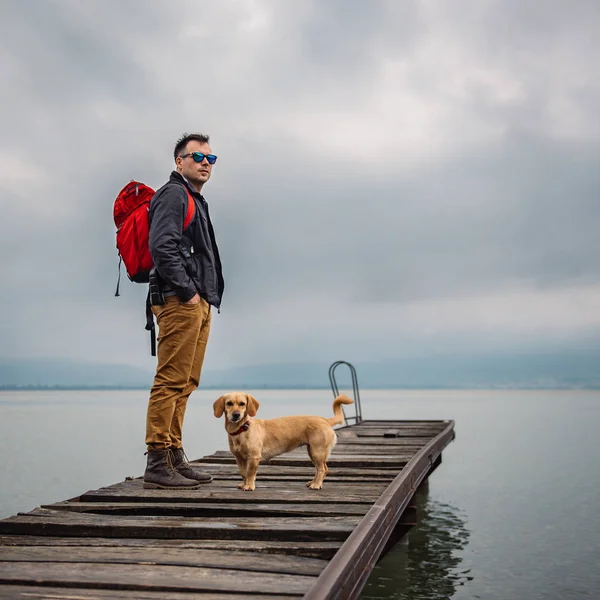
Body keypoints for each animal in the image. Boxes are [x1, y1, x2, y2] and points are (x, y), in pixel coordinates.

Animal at [212, 392, 352, 490]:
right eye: (229, 403)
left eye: (242, 404)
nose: (236, 415)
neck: (241, 430)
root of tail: (325, 420)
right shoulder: (239, 458)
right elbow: (243, 473)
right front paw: (244, 484)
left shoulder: (254, 458)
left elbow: (250, 473)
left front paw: (249, 486)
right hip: (312, 452)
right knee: (320, 469)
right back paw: (313, 482)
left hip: (317, 452)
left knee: (322, 469)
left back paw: (316, 485)